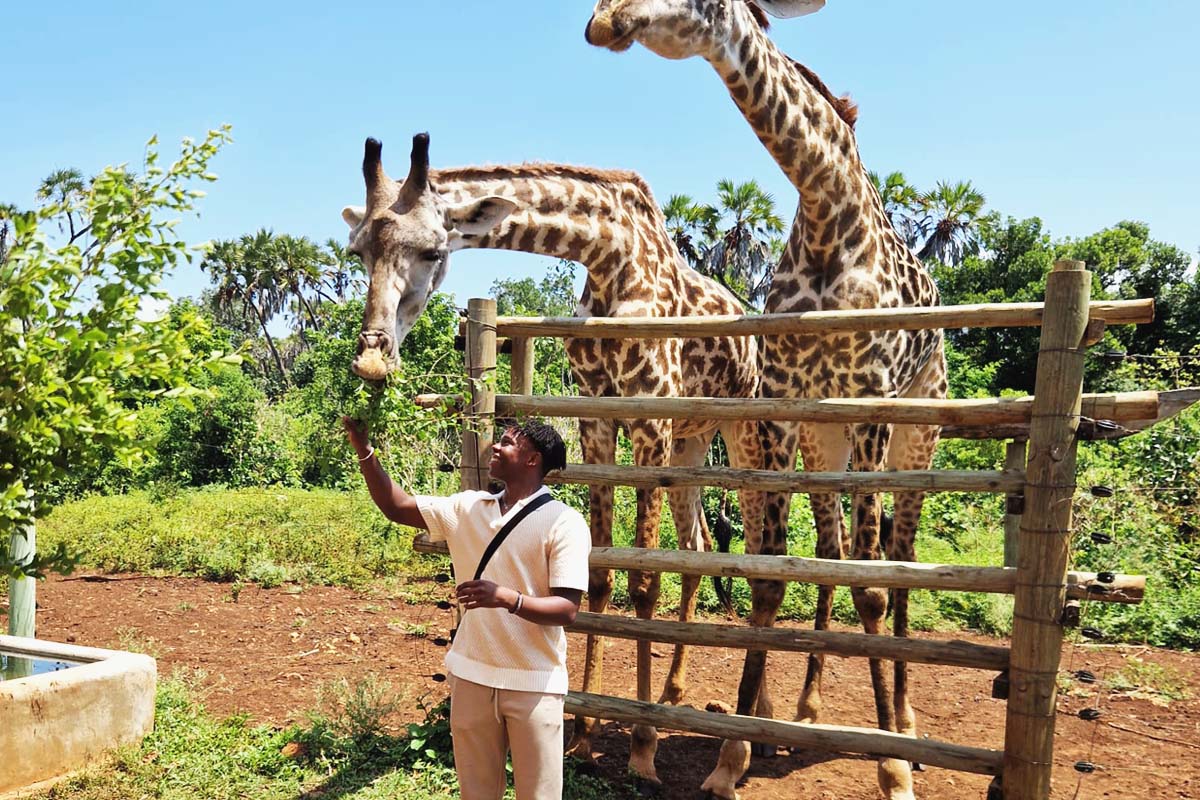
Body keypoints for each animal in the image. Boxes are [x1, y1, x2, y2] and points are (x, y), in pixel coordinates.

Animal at [342, 134, 765, 786]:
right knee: (695, 546)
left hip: (733, 424)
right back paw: (677, 693)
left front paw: (642, 748)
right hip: (691, 440)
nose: (371, 360)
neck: (612, 258)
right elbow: (600, 575)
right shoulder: (598, 417)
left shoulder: (649, 415)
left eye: (434, 250)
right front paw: (585, 735)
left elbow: (644, 581)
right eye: (357, 249)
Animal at [586, 2, 947, 798]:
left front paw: (892, 767)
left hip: (918, 425)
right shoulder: (786, 405)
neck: (826, 216)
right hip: (823, 440)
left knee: (899, 558)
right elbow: (774, 572)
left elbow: (872, 588)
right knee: (834, 548)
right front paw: (734, 756)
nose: (604, 20)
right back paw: (809, 709)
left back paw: (906, 725)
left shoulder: (871, 399)